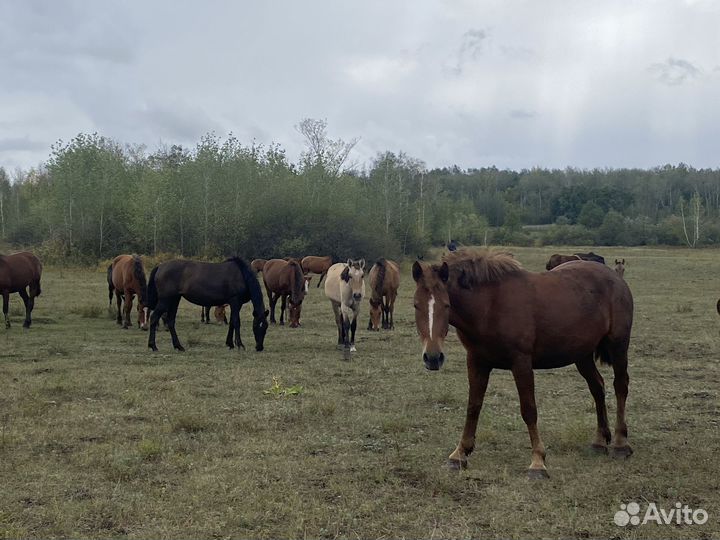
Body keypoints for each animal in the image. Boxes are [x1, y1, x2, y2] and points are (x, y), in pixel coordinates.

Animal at [411, 250, 634, 479]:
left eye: (447, 305)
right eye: (416, 305)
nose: (433, 357)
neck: (490, 305)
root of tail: (616, 277)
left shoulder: (521, 363)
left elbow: (529, 410)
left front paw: (538, 462)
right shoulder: (476, 361)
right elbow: (473, 407)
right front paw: (459, 453)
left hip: (618, 346)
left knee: (620, 386)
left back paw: (621, 444)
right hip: (582, 355)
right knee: (597, 387)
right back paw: (600, 441)